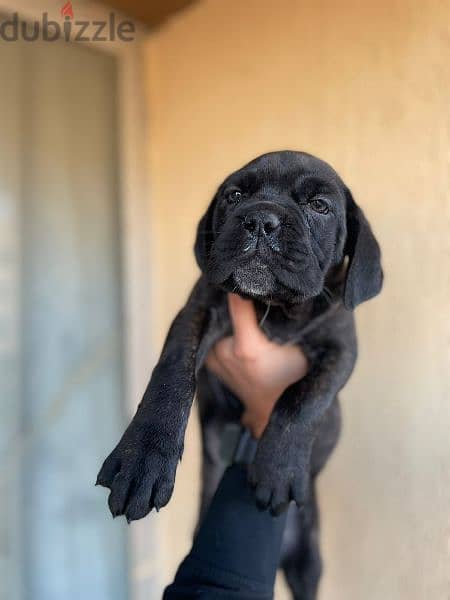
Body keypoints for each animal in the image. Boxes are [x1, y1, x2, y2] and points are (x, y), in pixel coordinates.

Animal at [96, 151, 382, 600]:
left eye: (320, 206)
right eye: (234, 196)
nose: (261, 220)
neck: (274, 310)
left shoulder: (341, 350)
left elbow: (304, 398)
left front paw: (277, 467)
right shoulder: (197, 311)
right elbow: (172, 373)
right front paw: (143, 457)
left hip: (308, 562)